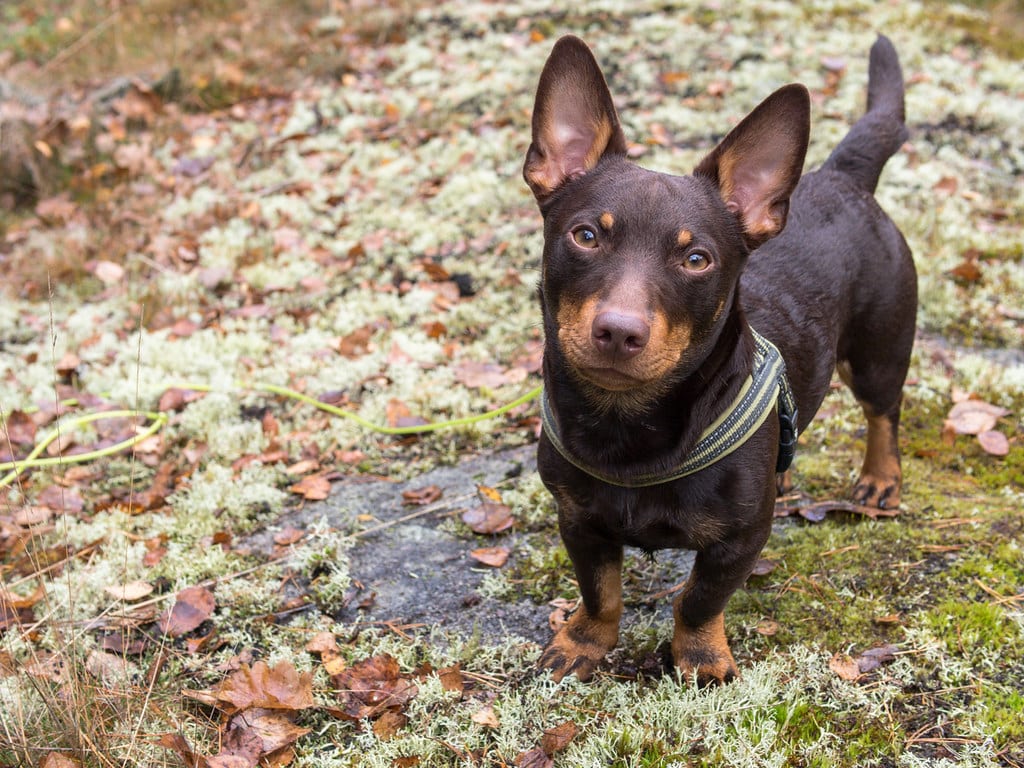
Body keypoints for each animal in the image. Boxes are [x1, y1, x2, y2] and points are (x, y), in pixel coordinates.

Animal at [524, 36, 917, 684]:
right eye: (585, 236)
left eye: (697, 260)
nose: (618, 332)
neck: (629, 426)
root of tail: (841, 176)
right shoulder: (578, 521)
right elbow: (600, 593)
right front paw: (582, 643)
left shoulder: (738, 541)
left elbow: (698, 599)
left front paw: (702, 661)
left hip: (878, 354)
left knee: (883, 413)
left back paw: (880, 479)